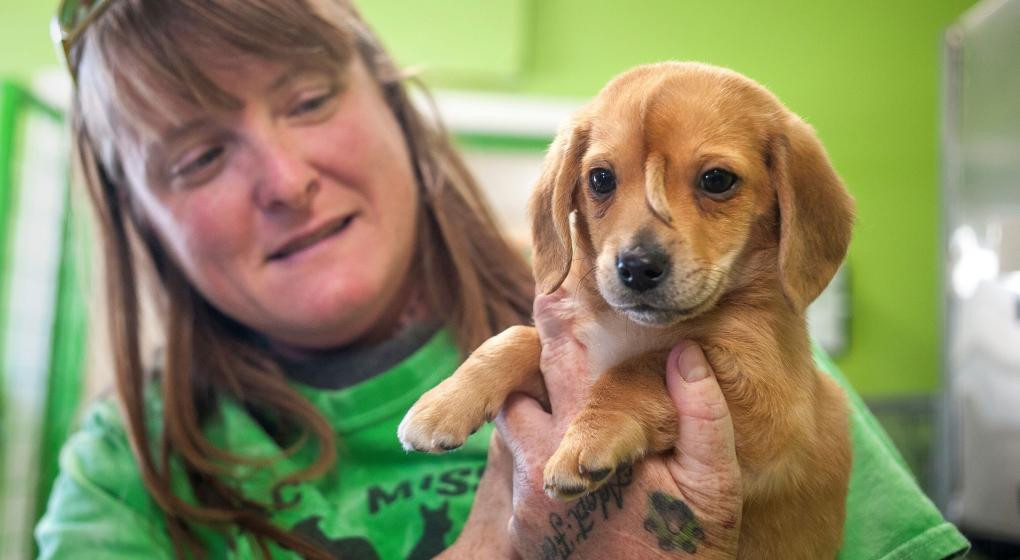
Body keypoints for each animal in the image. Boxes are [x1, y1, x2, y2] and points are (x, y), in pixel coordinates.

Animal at [397, 61, 852, 554]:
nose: (636, 266)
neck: (630, 327)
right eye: (600, 179)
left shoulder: (772, 410)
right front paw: (444, 402)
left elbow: (638, 370)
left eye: (716, 180)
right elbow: (516, 338)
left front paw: (591, 437)